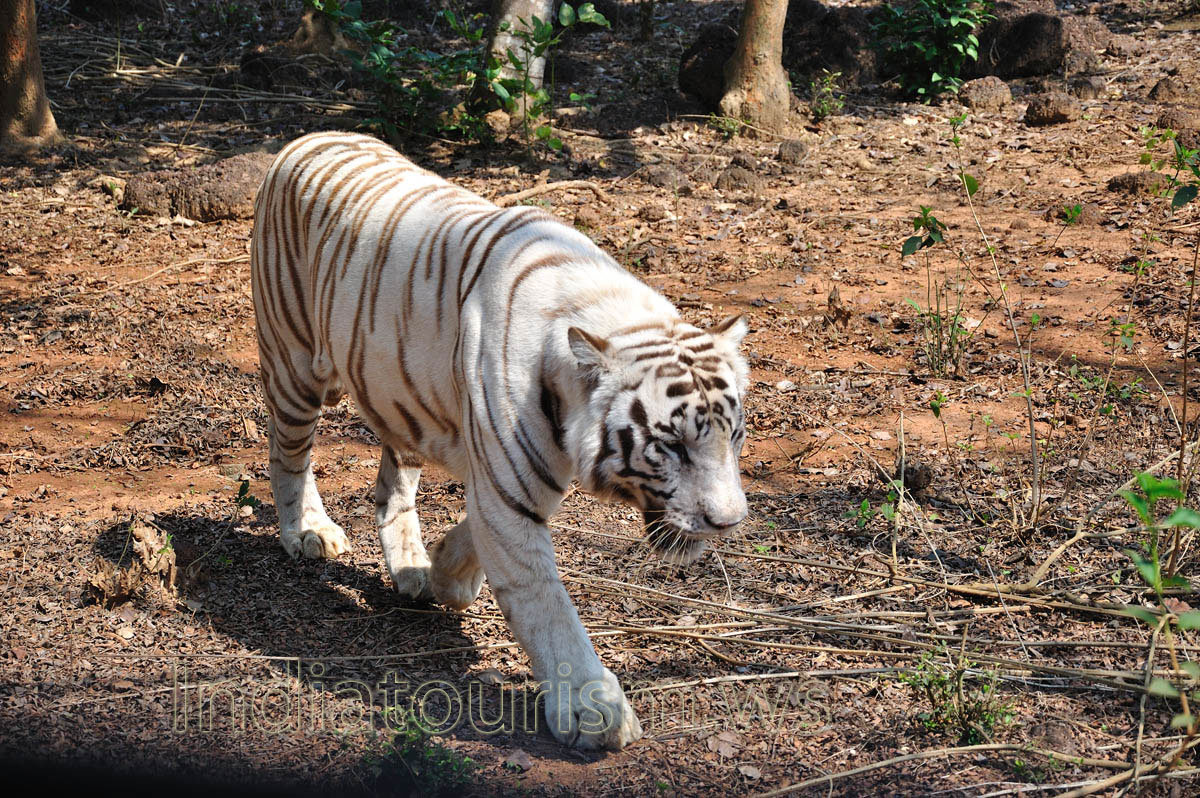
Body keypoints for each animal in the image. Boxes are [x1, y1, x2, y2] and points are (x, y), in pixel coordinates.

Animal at [250, 131, 750, 750]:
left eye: (734, 437)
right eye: (673, 445)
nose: (728, 523)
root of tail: (305, 138)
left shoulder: (514, 481)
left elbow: (474, 534)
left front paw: (446, 572)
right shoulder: (508, 492)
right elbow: (545, 606)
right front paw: (592, 710)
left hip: (398, 395)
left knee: (392, 487)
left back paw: (412, 567)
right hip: (293, 366)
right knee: (288, 455)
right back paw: (308, 531)